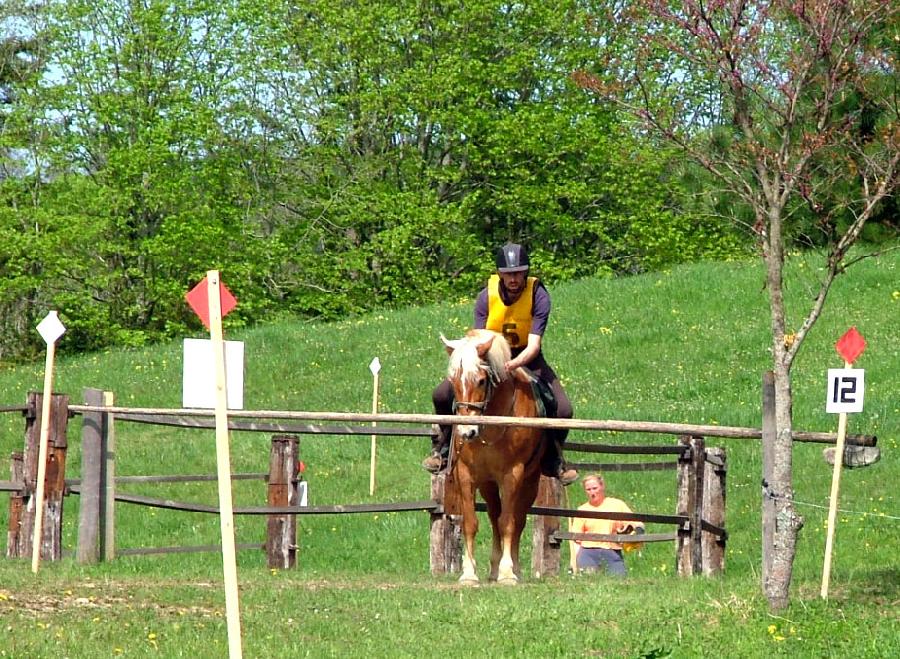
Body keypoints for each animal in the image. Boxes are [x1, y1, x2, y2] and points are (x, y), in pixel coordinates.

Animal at [440, 328, 544, 584]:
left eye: (481, 380)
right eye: (453, 382)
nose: (467, 432)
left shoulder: (513, 474)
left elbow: (508, 522)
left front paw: (508, 573)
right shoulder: (465, 473)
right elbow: (471, 522)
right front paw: (469, 573)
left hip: (530, 480)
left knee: (517, 518)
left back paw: (513, 568)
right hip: (487, 483)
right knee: (494, 514)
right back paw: (494, 568)